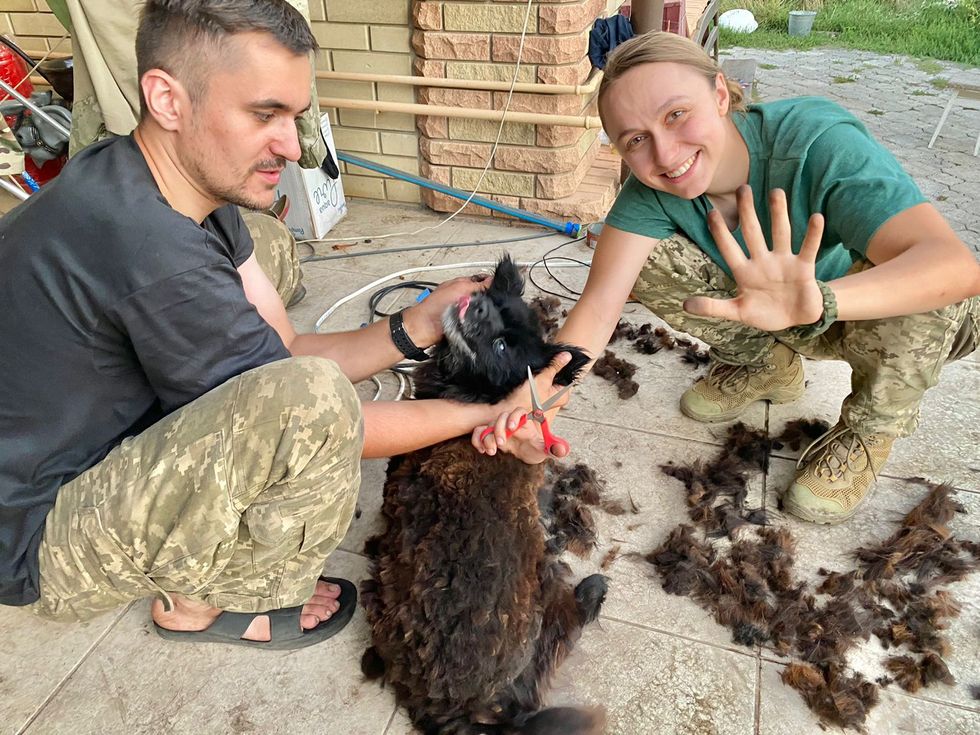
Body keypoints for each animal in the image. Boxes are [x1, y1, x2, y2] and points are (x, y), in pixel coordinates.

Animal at [360, 258, 604, 735]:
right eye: (496, 305)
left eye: (501, 345)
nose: (477, 304)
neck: (468, 392)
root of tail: (467, 706)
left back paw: (594, 590)